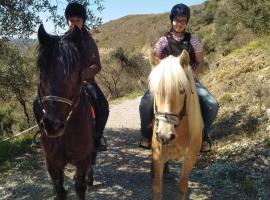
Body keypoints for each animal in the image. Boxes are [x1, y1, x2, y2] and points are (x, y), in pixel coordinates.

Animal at [34, 24, 96, 199]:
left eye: (75, 70)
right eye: (40, 68)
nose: (53, 125)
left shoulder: (82, 159)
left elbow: (80, 186)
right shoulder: (52, 164)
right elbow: (59, 190)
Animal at [149, 49, 204, 198]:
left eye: (182, 90)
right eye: (156, 91)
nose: (164, 136)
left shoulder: (190, 158)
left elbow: (182, 187)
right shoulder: (158, 155)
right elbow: (157, 188)